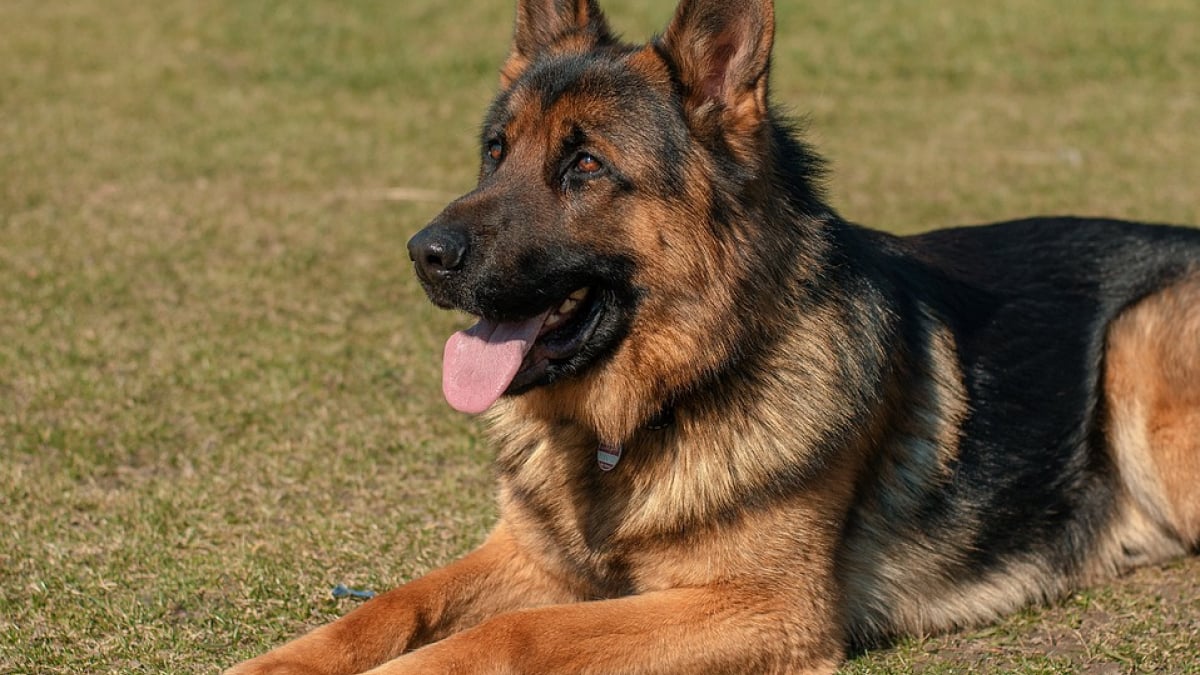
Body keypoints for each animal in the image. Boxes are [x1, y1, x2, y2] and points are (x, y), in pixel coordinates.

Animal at [225, 1, 1200, 672]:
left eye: (585, 166)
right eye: (495, 152)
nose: (424, 254)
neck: (640, 419)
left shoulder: (762, 607)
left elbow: (518, 632)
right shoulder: (528, 554)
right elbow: (386, 605)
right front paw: (280, 661)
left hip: (1139, 355)